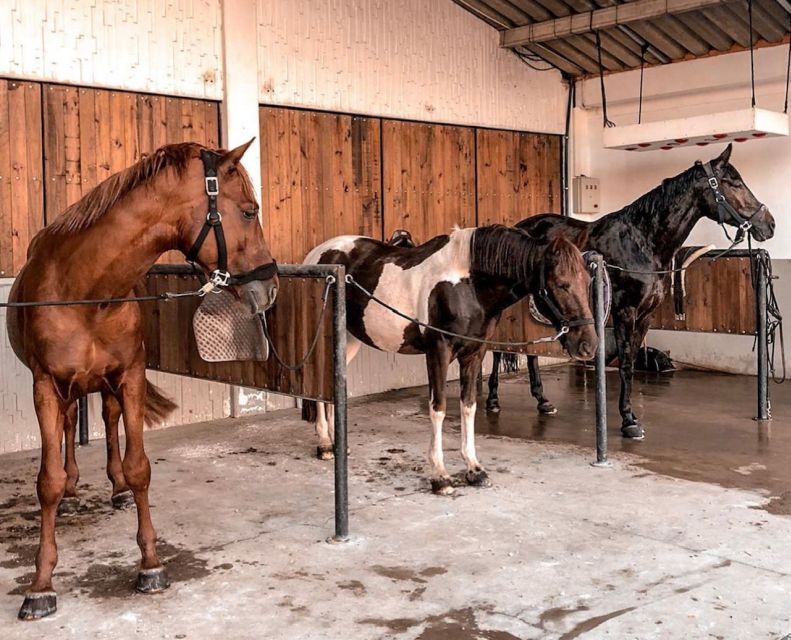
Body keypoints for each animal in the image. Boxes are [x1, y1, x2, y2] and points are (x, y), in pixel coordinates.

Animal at [5, 140, 278, 620]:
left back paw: (114, 489)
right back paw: (74, 490)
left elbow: (138, 467)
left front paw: (150, 563)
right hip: (65, 392)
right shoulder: (45, 387)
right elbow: (48, 482)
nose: (271, 287)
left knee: (108, 421)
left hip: (106, 387)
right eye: (248, 212)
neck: (87, 291)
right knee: (68, 427)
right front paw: (40, 585)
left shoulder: (129, 377)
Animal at [300, 225, 596, 496]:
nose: (588, 346)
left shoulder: (475, 353)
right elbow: (439, 408)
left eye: (588, 281)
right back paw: (325, 444)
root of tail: (319, 254)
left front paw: (474, 469)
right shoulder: (438, 352)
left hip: (349, 340)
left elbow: (469, 406)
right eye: (561, 284)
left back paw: (338, 445)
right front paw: (440, 476)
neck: (469, 286)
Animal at [486, 142, 776, 438]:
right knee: (498, 350)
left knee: (530, 354)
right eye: (734, 183)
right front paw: (628, 420)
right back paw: (493, 400)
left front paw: (630, 414)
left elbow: (632, 361)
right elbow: (626, 363)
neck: (641, 242)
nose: (770, 224)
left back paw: (543, 401)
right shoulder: (625, 312)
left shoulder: (645, 316)